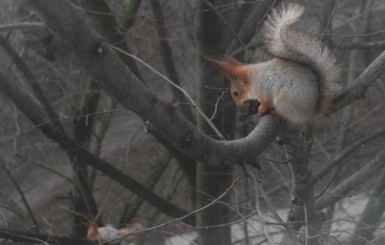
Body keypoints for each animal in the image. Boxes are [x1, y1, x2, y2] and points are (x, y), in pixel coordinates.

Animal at [208, 1, 340, 124]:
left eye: (235, 93)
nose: (238, 105)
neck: (252, 79)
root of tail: (310, 114)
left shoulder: (263, 90)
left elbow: (266, 103)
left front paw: (261, 110)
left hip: (285, 97)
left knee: (288, 116)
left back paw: (276, 112)